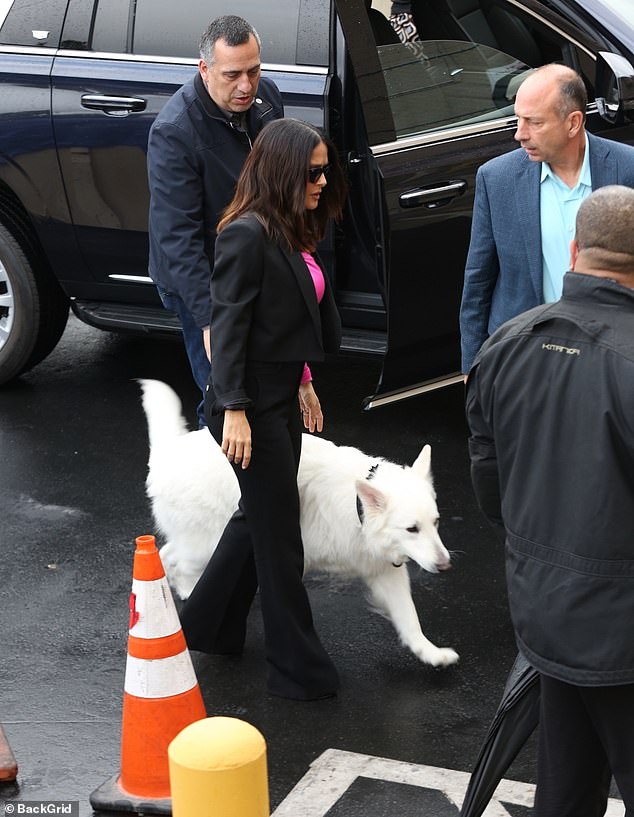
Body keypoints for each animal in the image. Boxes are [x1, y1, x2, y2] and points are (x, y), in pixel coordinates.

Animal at [138, 380, 456, 668]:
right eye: (412, 529)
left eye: (436, 522)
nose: (445, 566)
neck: (358, 508)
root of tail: (169, 451)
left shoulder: (384, 571)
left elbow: (409, 619)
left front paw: (429, 652)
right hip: (207, 544)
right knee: (178, 559)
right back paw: (189, 591)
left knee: (167, 553)